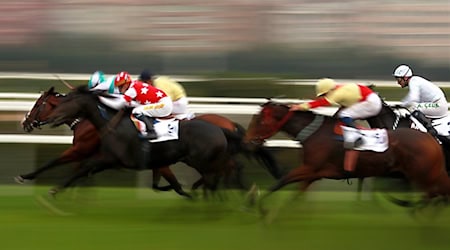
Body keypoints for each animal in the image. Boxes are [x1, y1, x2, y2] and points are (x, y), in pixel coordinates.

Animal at [244, 100, 450, 210]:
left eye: (260, 121)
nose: (246, 141)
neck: (315, 132)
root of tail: (431, 139)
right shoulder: (313, 173)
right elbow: (297, 191)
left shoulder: (310, 168)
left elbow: (282, 181)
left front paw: (255, 202)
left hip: (423, 173)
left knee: (434, 193)